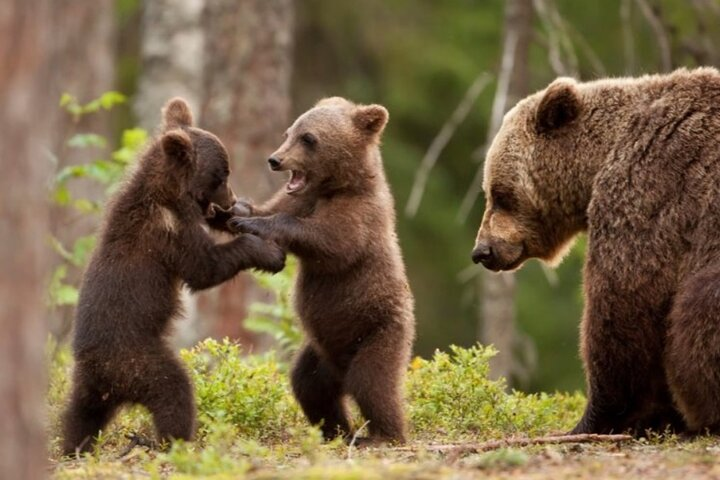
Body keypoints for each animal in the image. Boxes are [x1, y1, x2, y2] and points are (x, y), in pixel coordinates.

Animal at [61, 99, 286, 456]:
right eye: (222, 173)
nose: (230, 198)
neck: (169, 194)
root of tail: (103, 374)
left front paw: (240, 214)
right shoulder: (168, 233)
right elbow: (204, 268)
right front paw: (268, 252)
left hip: (89, 386)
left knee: (79, 415)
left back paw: (72, 446)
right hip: (138, 361)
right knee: (173, 390)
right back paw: (174, 440)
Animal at [231, 97, 416, 446]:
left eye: (309, 138)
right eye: (288, 132)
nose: (275, 159)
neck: (335, 187)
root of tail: (340, 369)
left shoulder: (360, 215)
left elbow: (332, 243)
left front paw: (257, 223)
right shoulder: (300, 198)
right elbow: (274, 207)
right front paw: (236, 210)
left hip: (378, 331)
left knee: (372, 383)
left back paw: (383, 435)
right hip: (320, 352)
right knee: (309, 385)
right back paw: (336, 431)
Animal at [472, 65, 720, 436]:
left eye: (500, 194)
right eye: (491, 191)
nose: (482, 251)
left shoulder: (650, 189)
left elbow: (623, 303)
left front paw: (596, 417)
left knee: (698, 307)